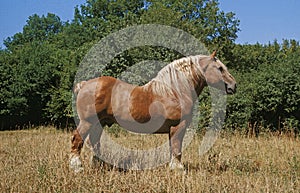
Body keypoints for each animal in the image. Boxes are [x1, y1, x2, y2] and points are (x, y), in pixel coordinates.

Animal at [70, 51, 237, 172]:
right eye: (220, 68)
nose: (234, 85)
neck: (175, 91)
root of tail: (84, 84)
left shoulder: (171, 129)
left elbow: (172, 148)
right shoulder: (178, 126)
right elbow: (177, 147)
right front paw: (179, 169)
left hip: (99, 123)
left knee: (94, 142)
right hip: (87, 122)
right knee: (77, 139)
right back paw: (77, 167)